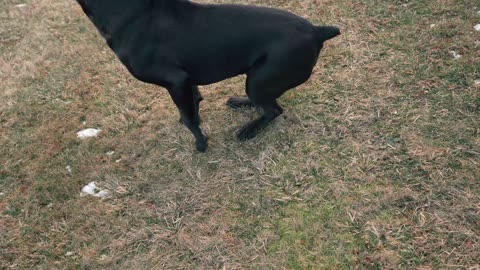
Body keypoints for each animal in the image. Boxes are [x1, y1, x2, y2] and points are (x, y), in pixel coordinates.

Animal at [75, 0, 340, 152]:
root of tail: (317, 31)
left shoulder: (176, 81)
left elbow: (190, 119)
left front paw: (200, 145)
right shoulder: (186, 82)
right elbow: (192, 106)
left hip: (258, 81)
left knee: (273, 110)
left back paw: (248, 130)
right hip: (257, 78)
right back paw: (240, 103)